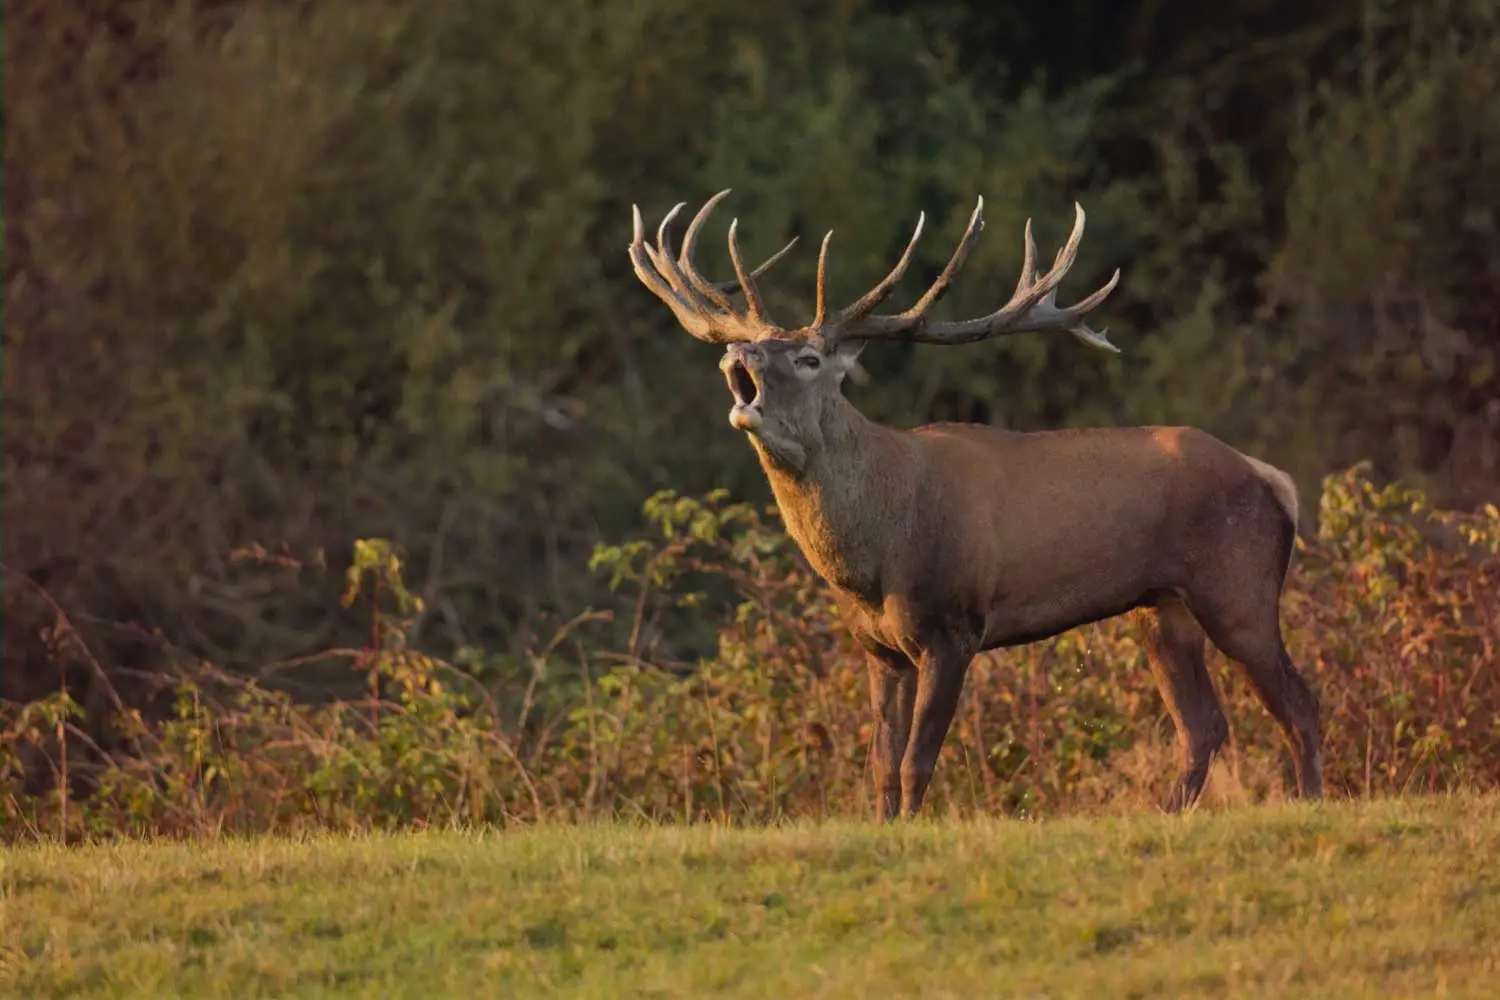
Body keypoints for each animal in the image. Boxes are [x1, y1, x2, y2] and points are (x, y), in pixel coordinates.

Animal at [626, 189, 1323, 820]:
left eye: (808, 357)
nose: (737, 352)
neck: (873, 554)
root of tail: (1275, 480)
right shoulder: (877, 647)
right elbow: (881, 765)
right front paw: (885, 828)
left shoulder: (953, 626)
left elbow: (917, 761)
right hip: (1162, 609)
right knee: (1203, 727)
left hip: (1236, 586)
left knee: (1299, 703)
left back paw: (1312, 802)